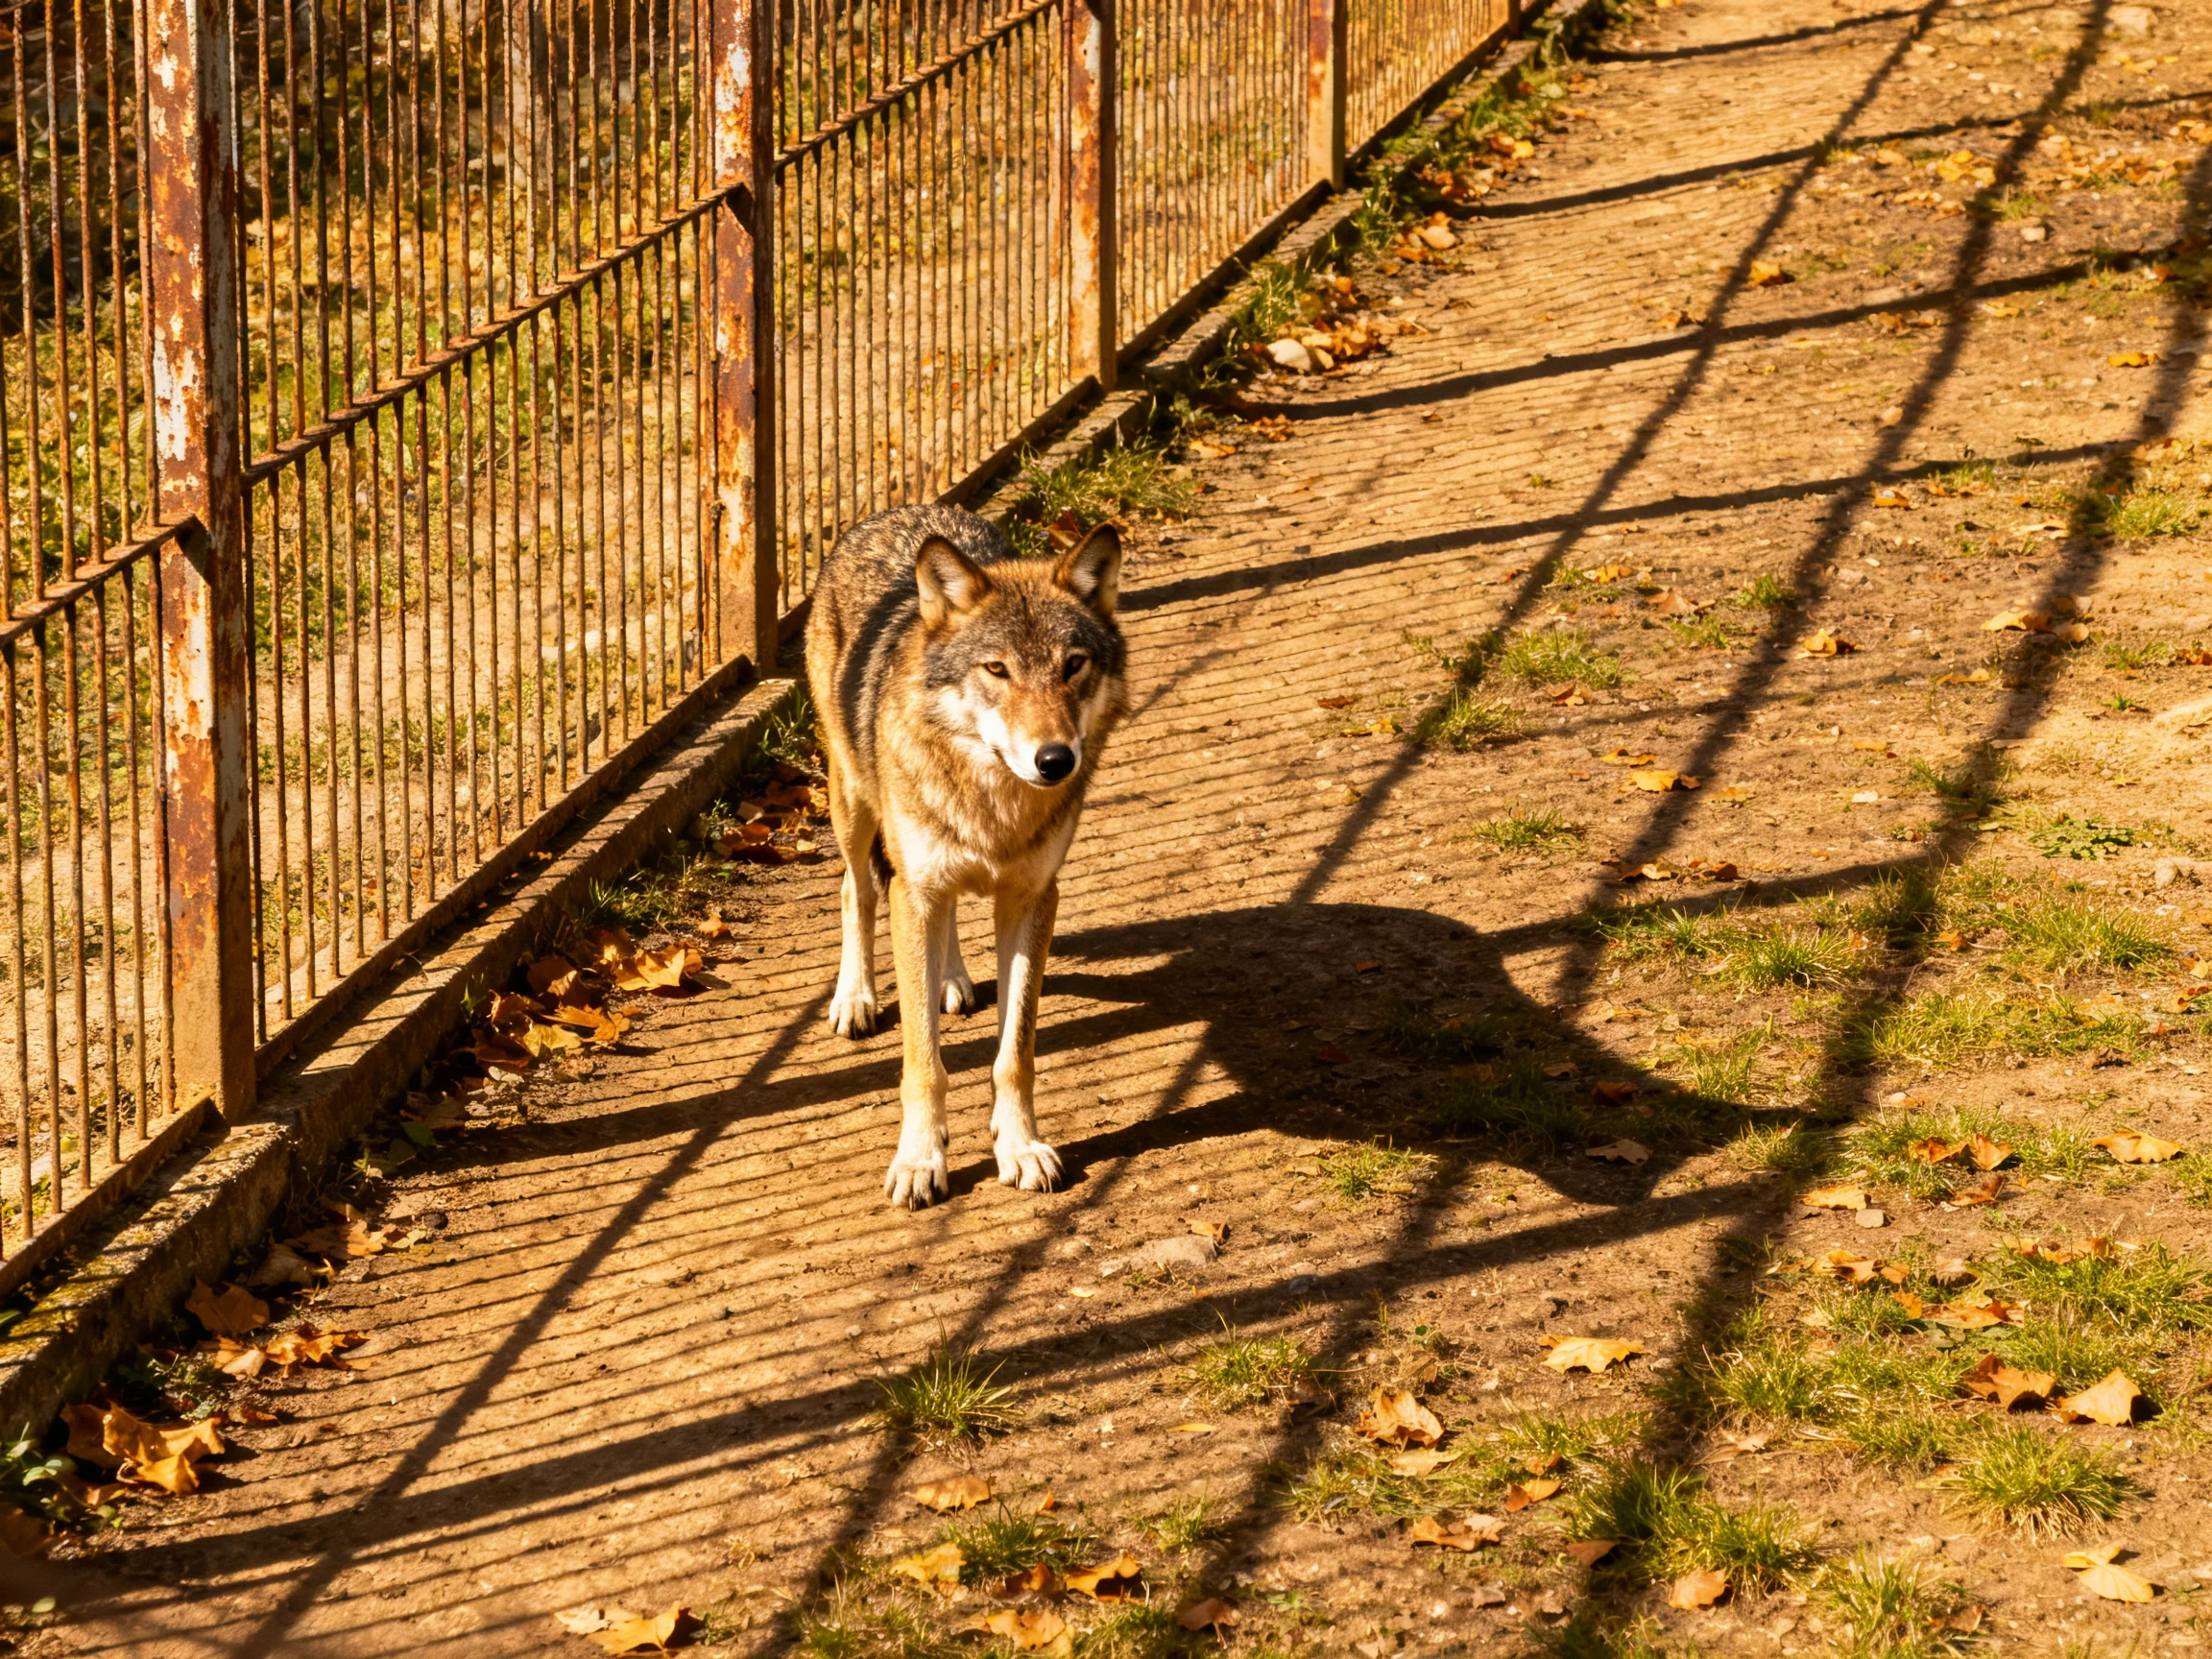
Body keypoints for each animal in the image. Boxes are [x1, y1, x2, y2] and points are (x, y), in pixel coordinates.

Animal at [805, 503, 1128, 1209]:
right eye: (997, 669)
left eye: (1073, 664)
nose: (1055, 760)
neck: (995, 810)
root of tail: (905, 512)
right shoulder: (916, 890)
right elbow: (924, 1062)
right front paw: (920, 1161)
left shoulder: (1033, 898)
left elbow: (1015, 1053)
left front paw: (1021, 1147)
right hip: (853, 803)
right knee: (855, 890)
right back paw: (856, 998)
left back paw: (952, 981)